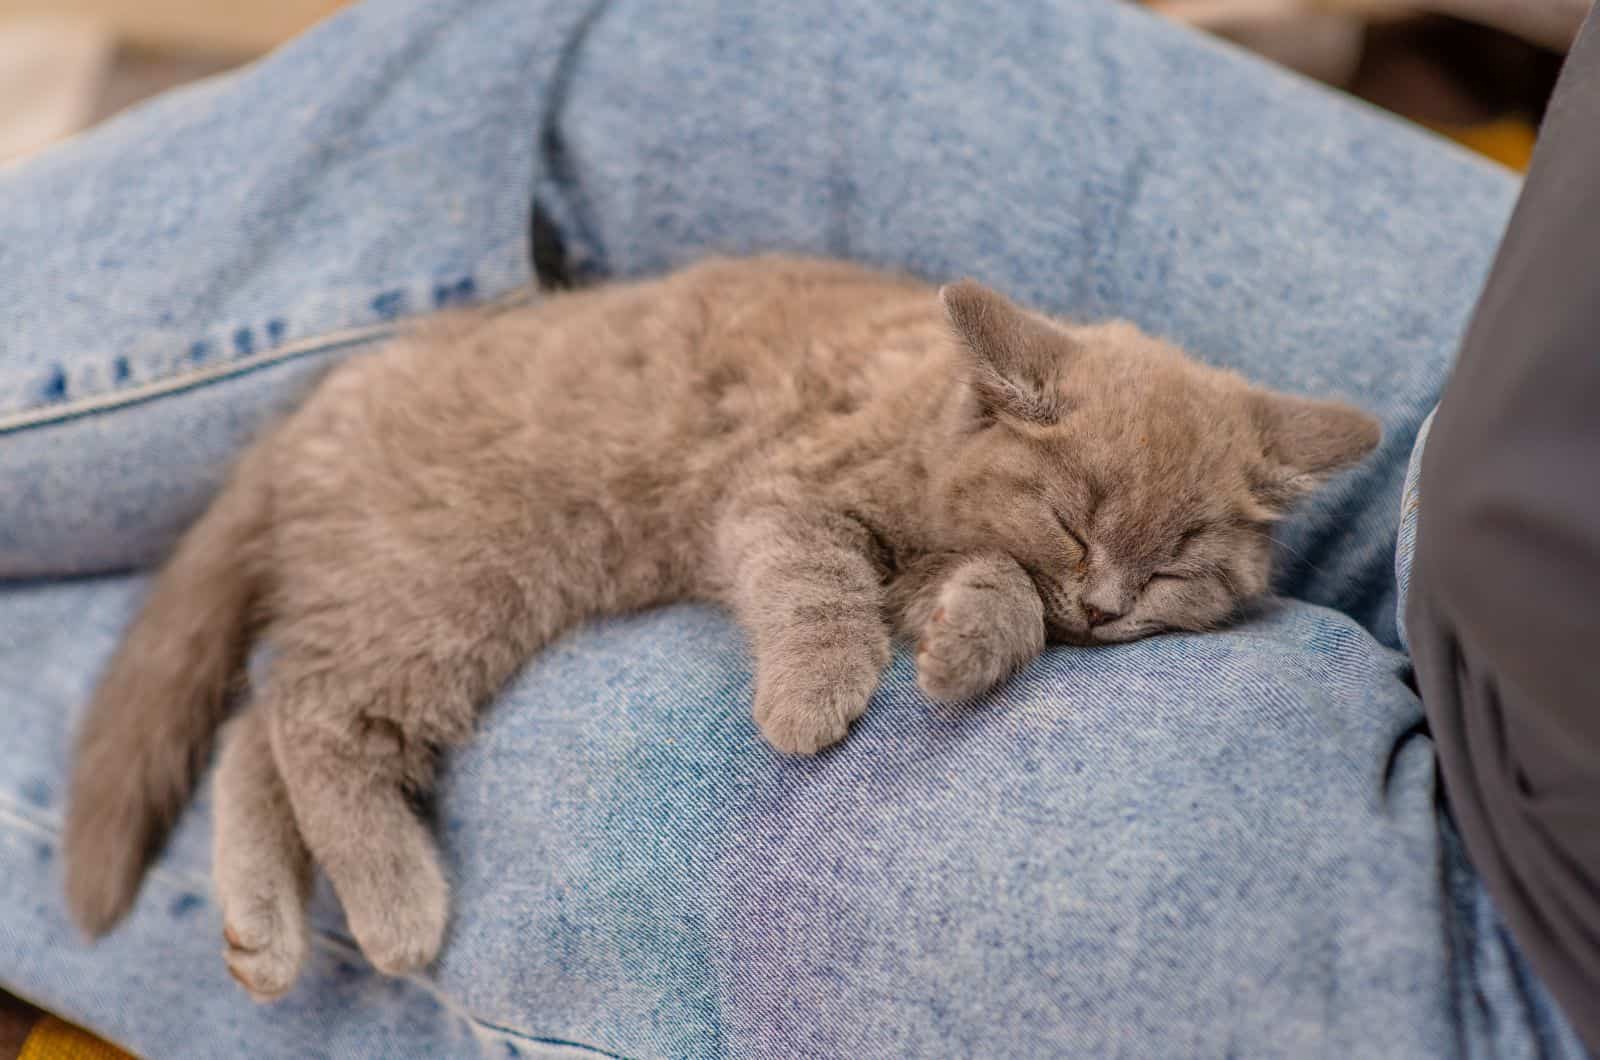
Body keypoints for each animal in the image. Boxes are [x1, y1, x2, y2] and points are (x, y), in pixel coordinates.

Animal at [62, 252, 1382, 999]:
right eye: (1074, 519)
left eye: (1178, 563)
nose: (1106, 606)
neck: (932, 425)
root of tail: (327, 395)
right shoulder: (785, 491)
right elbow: (814, 579)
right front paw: (811, 700)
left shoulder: (922, 557)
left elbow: (983, 597)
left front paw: (967, 646)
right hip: (449, 586)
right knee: (306, 714)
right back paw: (394, 906)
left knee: (258, 723)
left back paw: (266, 933)